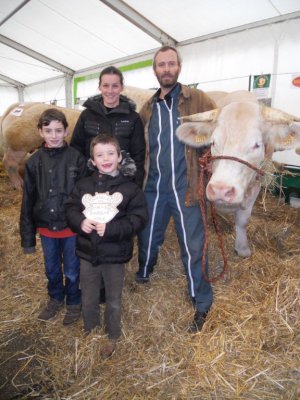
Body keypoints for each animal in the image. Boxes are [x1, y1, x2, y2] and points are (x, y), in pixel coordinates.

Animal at [176, 91, 300, 256]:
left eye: (257, 145)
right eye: (213, 142)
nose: (220, 190)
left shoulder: (256, 185)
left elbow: (243, 220)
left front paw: (242, 248)